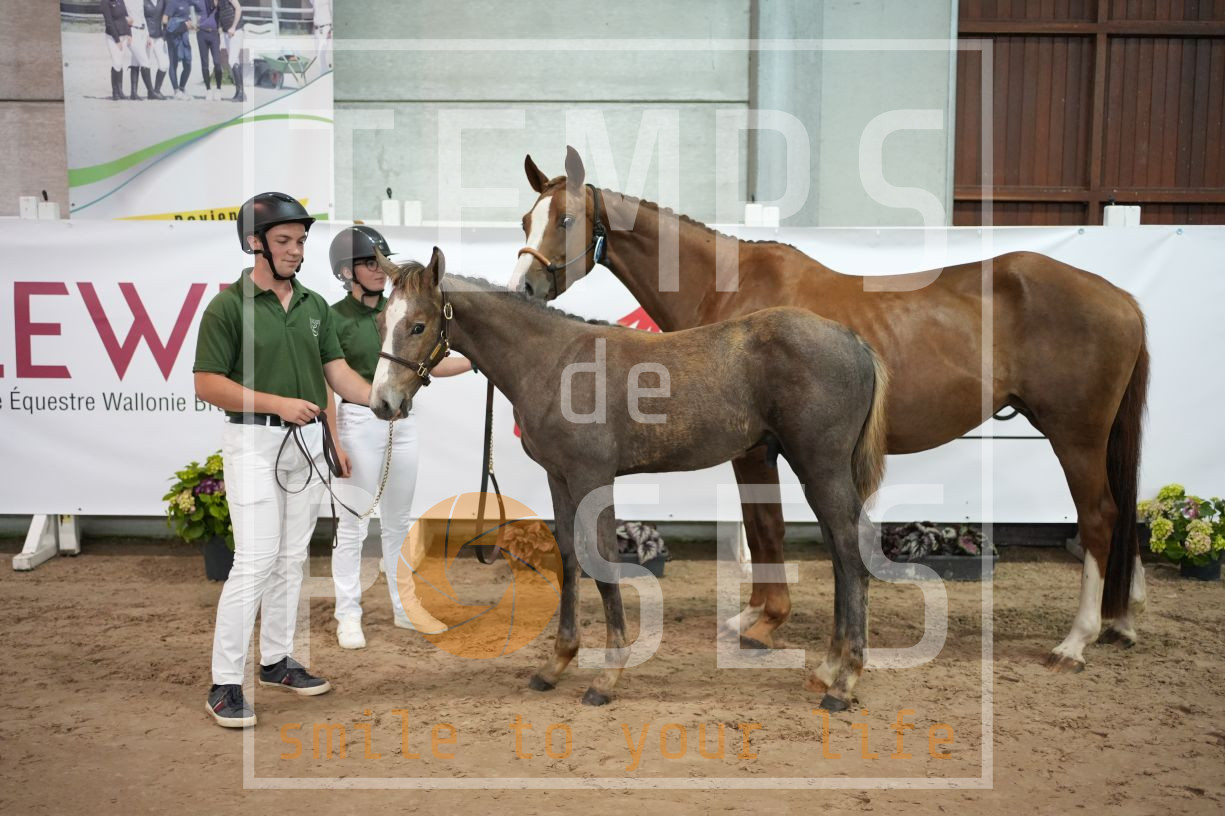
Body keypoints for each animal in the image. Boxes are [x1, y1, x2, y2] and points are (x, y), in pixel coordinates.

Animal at [369, 247, 889, 710]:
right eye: (381, 322)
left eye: (418, 325)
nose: (382, 403)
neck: (553, 361)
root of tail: (855, 342)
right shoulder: (560, 479)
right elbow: (569, 557)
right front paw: (555, 665)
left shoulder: (592, 477)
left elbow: (601, 559)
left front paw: (607, 677)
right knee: (841, 555)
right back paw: (827, 670)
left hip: (820, 467)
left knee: (851, 554)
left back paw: (844, 683)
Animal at [512, 148, 1150, 674]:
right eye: (525, 220)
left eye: (564, 219)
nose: (523, 287)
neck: (730, 288)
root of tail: (1121, 297)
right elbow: (759, 528)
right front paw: (754, 615)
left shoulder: (756, 449)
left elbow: (767, 527)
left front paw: (767, 621)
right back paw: (1118, 620)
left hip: (1076, 437)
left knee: (1099, 517)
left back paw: (1076, 640)